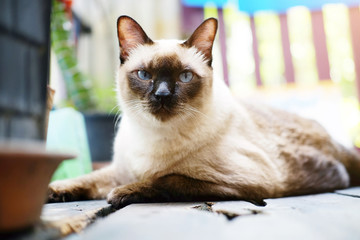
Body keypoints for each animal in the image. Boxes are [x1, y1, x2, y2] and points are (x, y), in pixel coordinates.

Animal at [47, 15, 360, 209]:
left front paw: (122, 193)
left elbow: (166, 179)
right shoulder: (120, 169)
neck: (151, 137)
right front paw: (51, 191)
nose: (162, 95)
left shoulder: (245, 181)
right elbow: (86, 179)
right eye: (145, 75)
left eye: (185, 77)